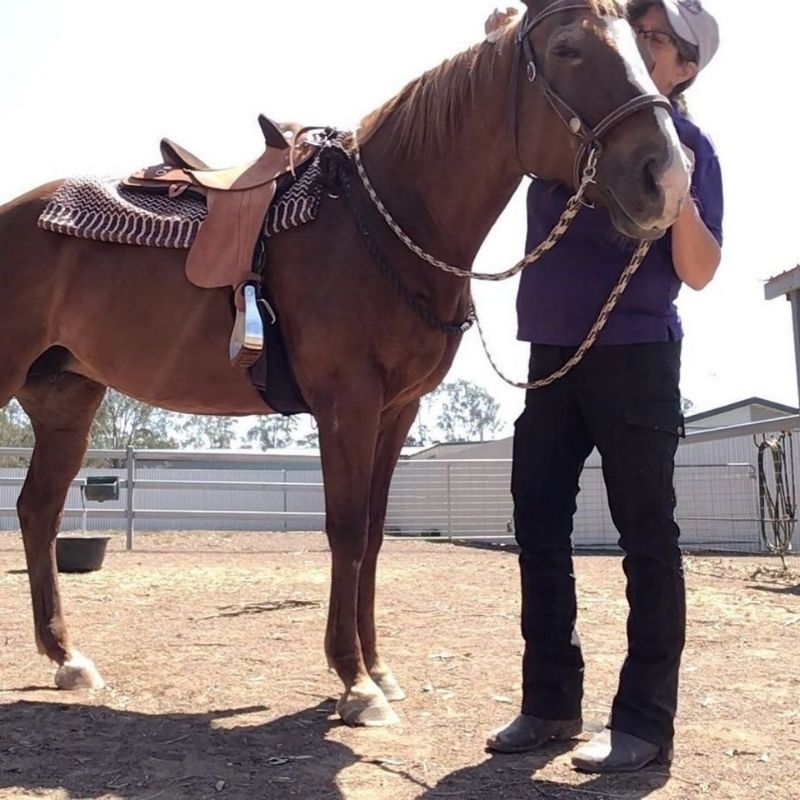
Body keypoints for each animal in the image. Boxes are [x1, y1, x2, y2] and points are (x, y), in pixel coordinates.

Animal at [0, 0, 689, 727]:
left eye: (640, 46)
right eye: (567, 50)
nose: (667, 179)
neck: (385, 223)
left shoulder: (396, 410)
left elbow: (376, 534)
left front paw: (379, 671)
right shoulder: (346, 404)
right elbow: (347, 531)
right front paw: (355, 683)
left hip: (66, 401)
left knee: (39, 512)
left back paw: (66, 658)